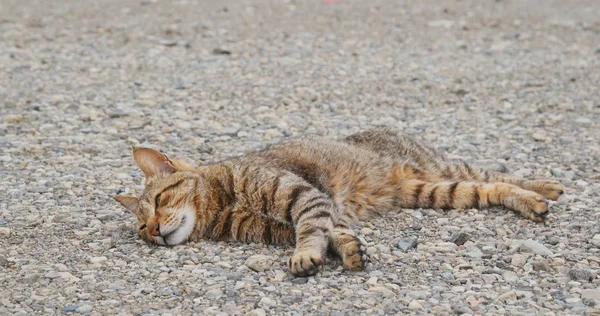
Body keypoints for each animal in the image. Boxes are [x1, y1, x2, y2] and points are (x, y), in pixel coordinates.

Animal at [115, 128, 564, 276]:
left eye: (160, 199)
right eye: (140, 228)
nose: (154, 230)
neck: (221, 208)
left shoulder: (302, 196)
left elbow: (311, 229)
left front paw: (305, 256)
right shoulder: (296, 219)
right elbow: (334, 232)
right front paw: (349, 250)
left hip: (437, 167)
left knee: (497, 174)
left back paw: (545, 187)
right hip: (434, 191)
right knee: (487, 188)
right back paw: (535, 200)